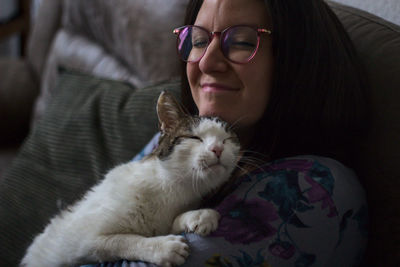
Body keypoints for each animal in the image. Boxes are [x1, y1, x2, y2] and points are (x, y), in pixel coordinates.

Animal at [21, 91, 241, 266]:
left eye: (227, 140)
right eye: (195, 138)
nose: (218, 149)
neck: (176, 190)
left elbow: (169, 225)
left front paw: (199, 215)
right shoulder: (83, 242)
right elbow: (121, 240)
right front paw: (162, 247)